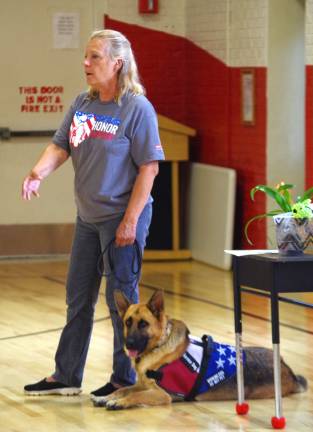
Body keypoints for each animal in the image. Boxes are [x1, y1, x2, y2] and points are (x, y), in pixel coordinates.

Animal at [98, 290, 306, 408]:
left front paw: (119, 402)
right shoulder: (144, 385)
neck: (159, 345)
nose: (129, 344)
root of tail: (287, 369)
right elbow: (125, 389)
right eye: (128, 322)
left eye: (143, 324)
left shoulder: (162, 395)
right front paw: (108, 396)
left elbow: (136, 395)